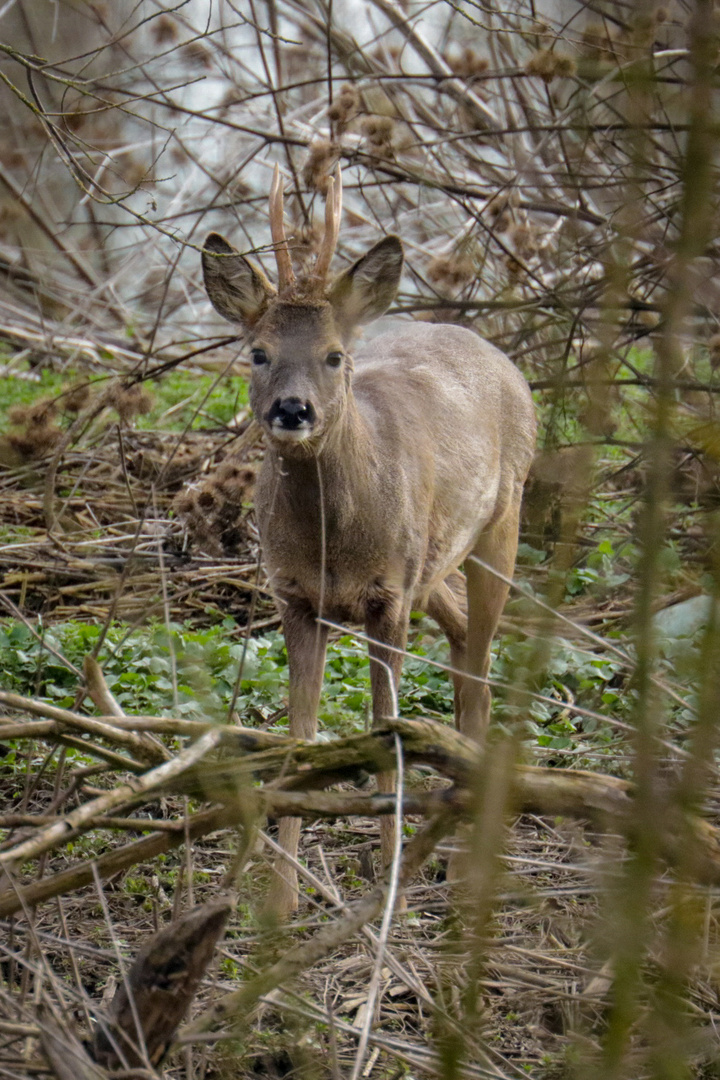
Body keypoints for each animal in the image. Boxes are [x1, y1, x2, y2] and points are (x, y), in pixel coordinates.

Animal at [199, 164, 537, 915]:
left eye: (333, 356)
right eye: (258, 353)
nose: (292, 410)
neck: (334, 547)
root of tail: (493, 350)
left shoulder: (387, 600)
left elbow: (388, 732)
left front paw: (389, 890)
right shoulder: (296, 597)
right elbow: (298, 739)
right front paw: (280, 902)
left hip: (500, 521)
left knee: (482, 662)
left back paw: (464, 862)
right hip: (429, 565)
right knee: (463, 636)